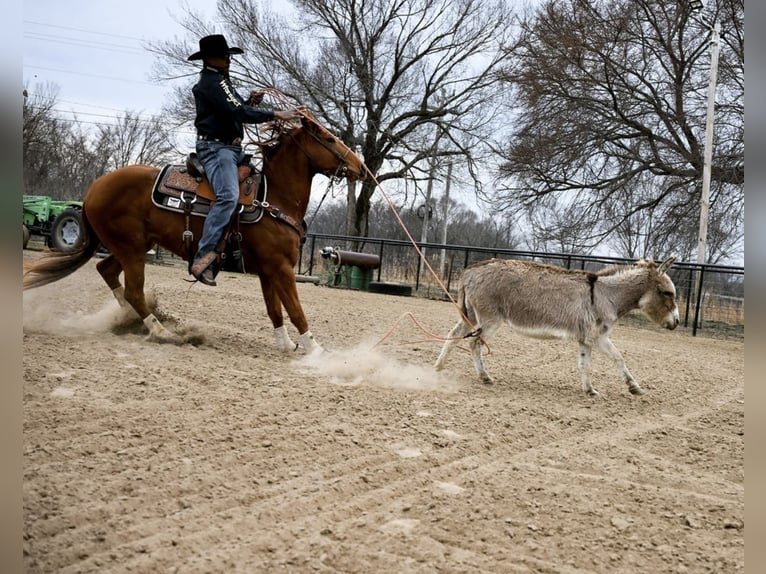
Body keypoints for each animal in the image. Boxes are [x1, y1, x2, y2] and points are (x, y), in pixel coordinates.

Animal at [23, 110, 366, 352]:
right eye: (329, 139)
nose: (360, 167)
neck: (273, 198)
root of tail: (95, 187)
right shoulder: (281, 268)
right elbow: (296, 310)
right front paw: (316, 351)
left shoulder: (268, 270)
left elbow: (275, 310)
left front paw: (286, 344)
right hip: (131, 249)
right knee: (132, 289)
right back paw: (160, 330)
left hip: (130, 246)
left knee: (107, 271)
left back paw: (132, 319)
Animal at [434, 257, 679, 396]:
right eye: (667, 292)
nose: (676, 322)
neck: (605, 294)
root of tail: (470, 271)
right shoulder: (597, 336)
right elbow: (610, 359)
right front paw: (627, 388)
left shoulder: (589, 338)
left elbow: (593, 363)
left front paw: (593, 390)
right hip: (490, 319)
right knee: (475, 343)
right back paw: (485, 377)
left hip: (470, 314)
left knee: (453, 335)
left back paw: (438, 368)